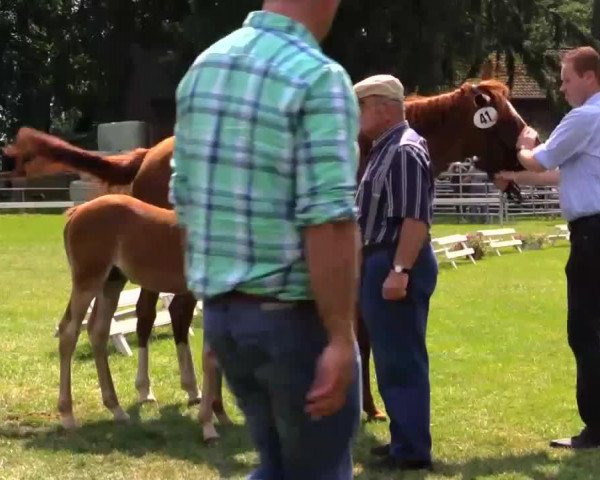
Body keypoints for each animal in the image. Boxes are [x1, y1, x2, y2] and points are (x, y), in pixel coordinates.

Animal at [4, 79, 528, 424]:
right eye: (501, 119)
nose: (525, 164)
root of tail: (148, 153)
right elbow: (357, 337)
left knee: (166, 317)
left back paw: (189, 393)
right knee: (150, 316)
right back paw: (149, 392)